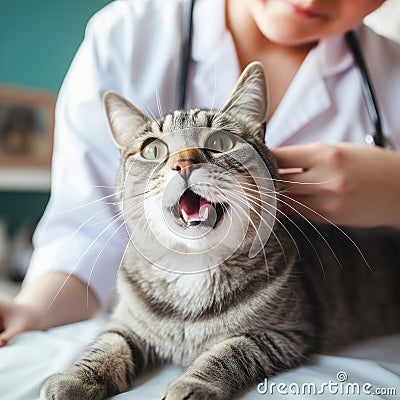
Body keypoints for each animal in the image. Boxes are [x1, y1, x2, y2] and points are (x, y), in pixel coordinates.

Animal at [39, 62, 398, 400]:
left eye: (221, 142)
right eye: (153, 149)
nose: (184, 162)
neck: (192, 268)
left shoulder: (283, 334)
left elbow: (229, 353)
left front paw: (192, 383)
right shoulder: (127, 324)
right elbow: (107, 347)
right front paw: (74, 379)